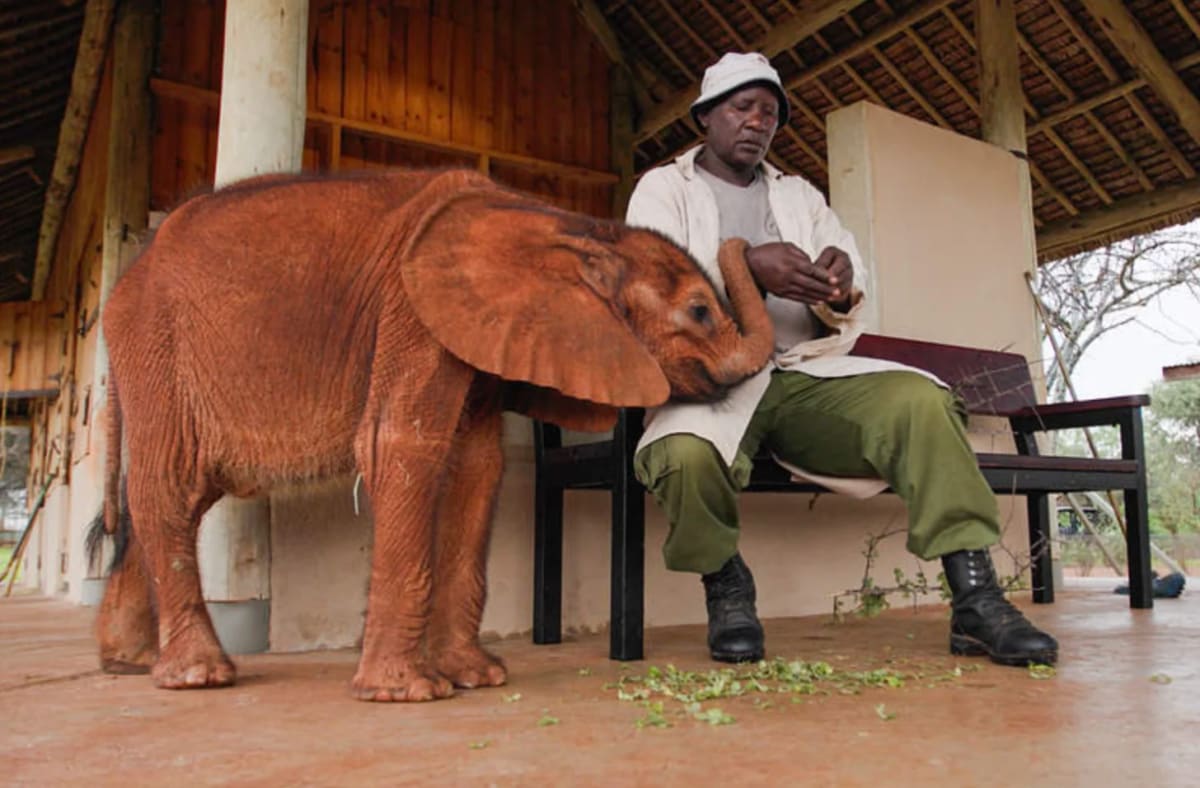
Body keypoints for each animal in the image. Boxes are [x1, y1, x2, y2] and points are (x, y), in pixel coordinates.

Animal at [92, 167, 774, 702]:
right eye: (699, 311)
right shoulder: (412, 309)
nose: (749, 244)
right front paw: (407, 693)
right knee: (168, 482)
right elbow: (401, 446)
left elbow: (480, 466)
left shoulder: (480, 332)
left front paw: (480, 678)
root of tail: (129, 270)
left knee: (182, 492)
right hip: (154, 339)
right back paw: (197, 676)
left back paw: (129, 663)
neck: (573, 227)